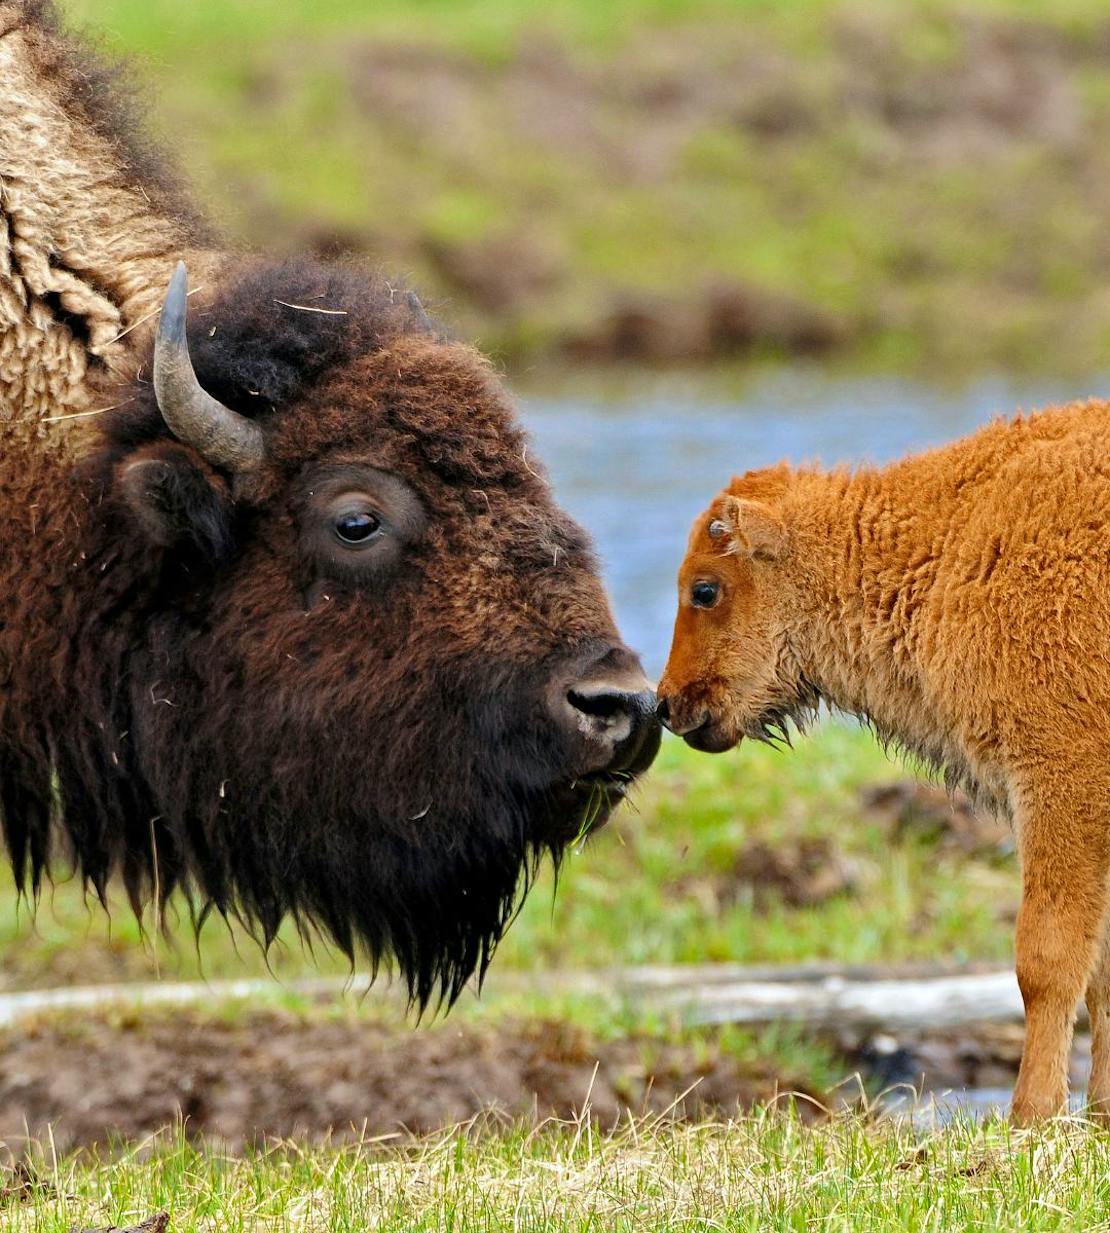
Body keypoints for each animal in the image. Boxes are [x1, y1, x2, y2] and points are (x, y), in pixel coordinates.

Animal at [656, 399, 1110, 1124]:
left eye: (705, 589)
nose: (667, 704)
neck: (951, 542)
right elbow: (1101, 970)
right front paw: (1098, 1114)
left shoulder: (1060, 785)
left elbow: (1047, 958)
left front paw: (1029, 1115)